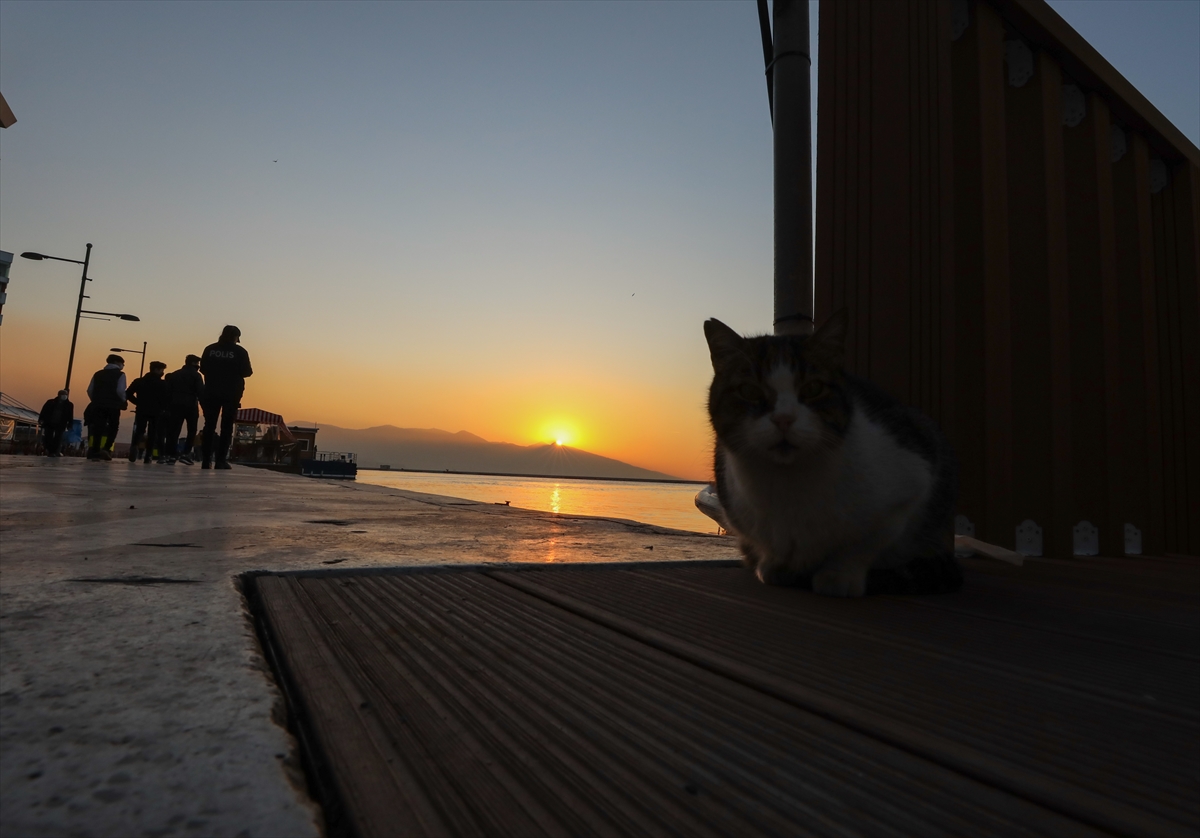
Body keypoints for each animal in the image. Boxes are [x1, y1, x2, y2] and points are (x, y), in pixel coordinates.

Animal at [705, 309, 960, 597]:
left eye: (813, 388)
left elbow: (863, 546)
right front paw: (775, 565)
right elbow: (768, 546)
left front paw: (839, 575)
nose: (784, 419)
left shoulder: (911, 484)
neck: (789, 484)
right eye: (749, 390)